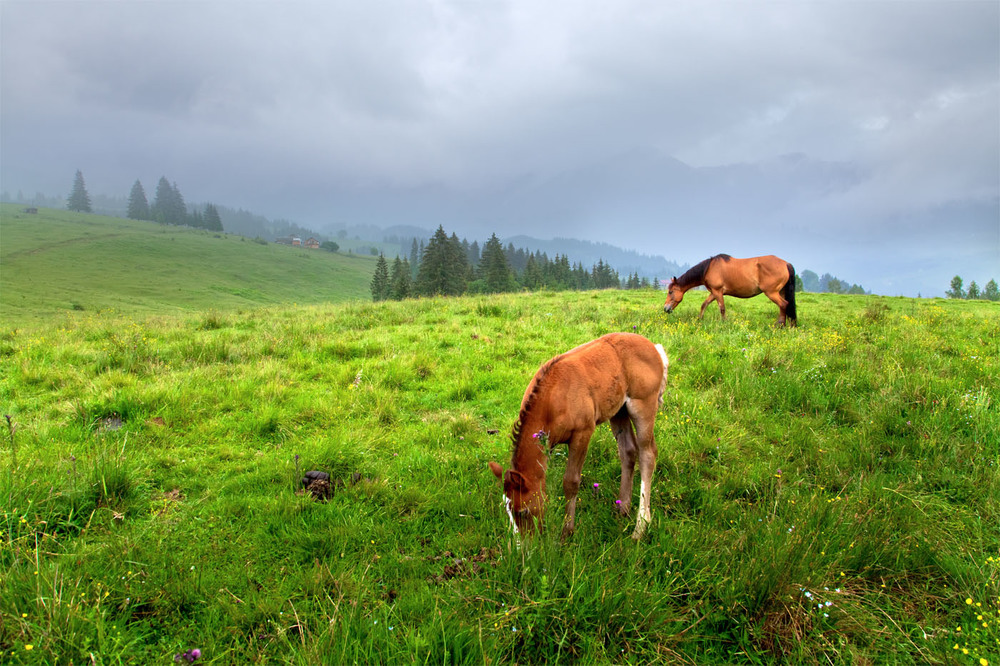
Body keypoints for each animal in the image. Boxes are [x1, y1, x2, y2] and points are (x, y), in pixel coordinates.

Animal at [486, 332, 668, 540]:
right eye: (508, 513)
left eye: (523, 512)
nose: (523, 546)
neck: (553, 398)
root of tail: (654, 347)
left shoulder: (583, 433)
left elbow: (571, 482)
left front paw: (567, 532)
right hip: (618, 411)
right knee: (628, 451)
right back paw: (622, 509)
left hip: (643, 404)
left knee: (648, 454)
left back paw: (640, 526)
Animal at [664, 253, 796, 326]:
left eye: (670, 292)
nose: (665, 308)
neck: (709, 268)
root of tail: (785, 263)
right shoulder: (714, 293)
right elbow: (704, 305)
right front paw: (699, 319)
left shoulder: (718, 292)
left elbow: (722, 308)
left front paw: (724, 323)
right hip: (781, 292)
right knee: (785, 305)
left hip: (771, 292)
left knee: (783, 304)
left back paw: (780, 325)